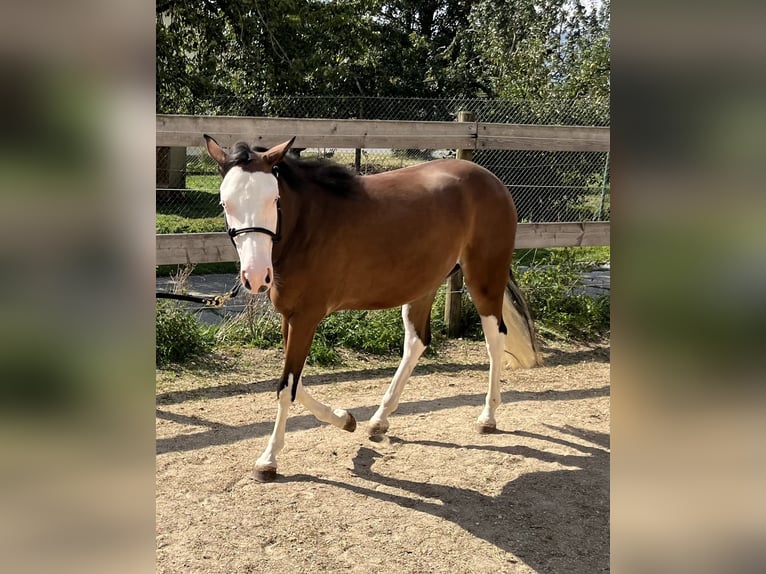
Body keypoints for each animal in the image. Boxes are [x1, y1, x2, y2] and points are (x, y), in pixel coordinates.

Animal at [201, 137, 544, 484]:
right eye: (225, 204)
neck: (308, 227)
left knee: (494, 339)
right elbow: (296, 383)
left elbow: (287, 387)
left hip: (484, 278)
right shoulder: (291, 318)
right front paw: (345, 419)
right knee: (417, 342)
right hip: (423, 285)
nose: (256, 277)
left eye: (274, 200)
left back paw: (487, 417)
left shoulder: (306, 317)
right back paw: (379, 421)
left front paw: (268, 460)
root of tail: (491, 179)